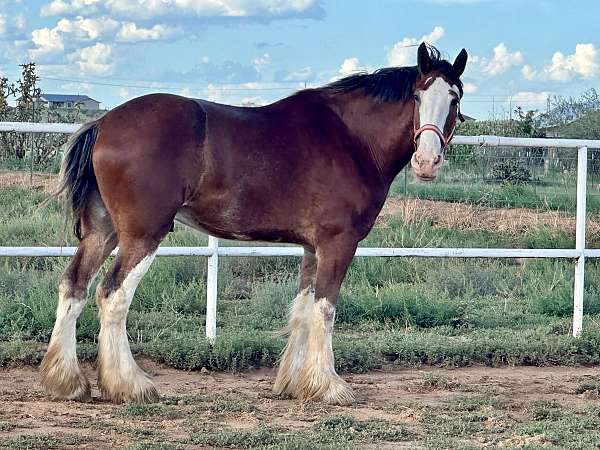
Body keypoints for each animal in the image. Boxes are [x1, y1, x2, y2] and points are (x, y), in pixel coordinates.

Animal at [41, 44, 468, 406]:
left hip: (102, 232)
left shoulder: (311, 247)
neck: (350, 139)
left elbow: (303, 308)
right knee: (112, 295)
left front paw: (295, 384)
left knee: (74, 286)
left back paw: (67, 382)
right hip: (142, 235)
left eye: (454, 99)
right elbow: (325, 310)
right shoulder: (338, 243)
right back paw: (130, 385)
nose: (427, 162)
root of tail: (104, 122)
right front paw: (330, 387)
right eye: (418, 97)